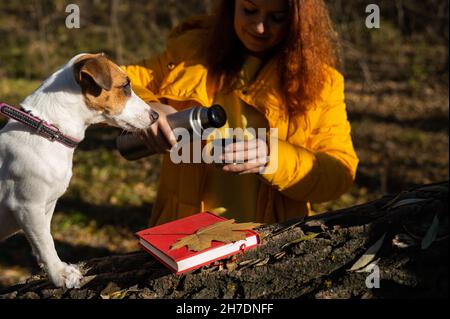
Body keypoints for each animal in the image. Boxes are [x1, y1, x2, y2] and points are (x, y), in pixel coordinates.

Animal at [0, 53, 158, 288]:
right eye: (125, 86)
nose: (155, 115)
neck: (48, 130)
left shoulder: (46, 206)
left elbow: (44, 238)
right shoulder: (27, 205)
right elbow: (46, 242)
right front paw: (60, 274)